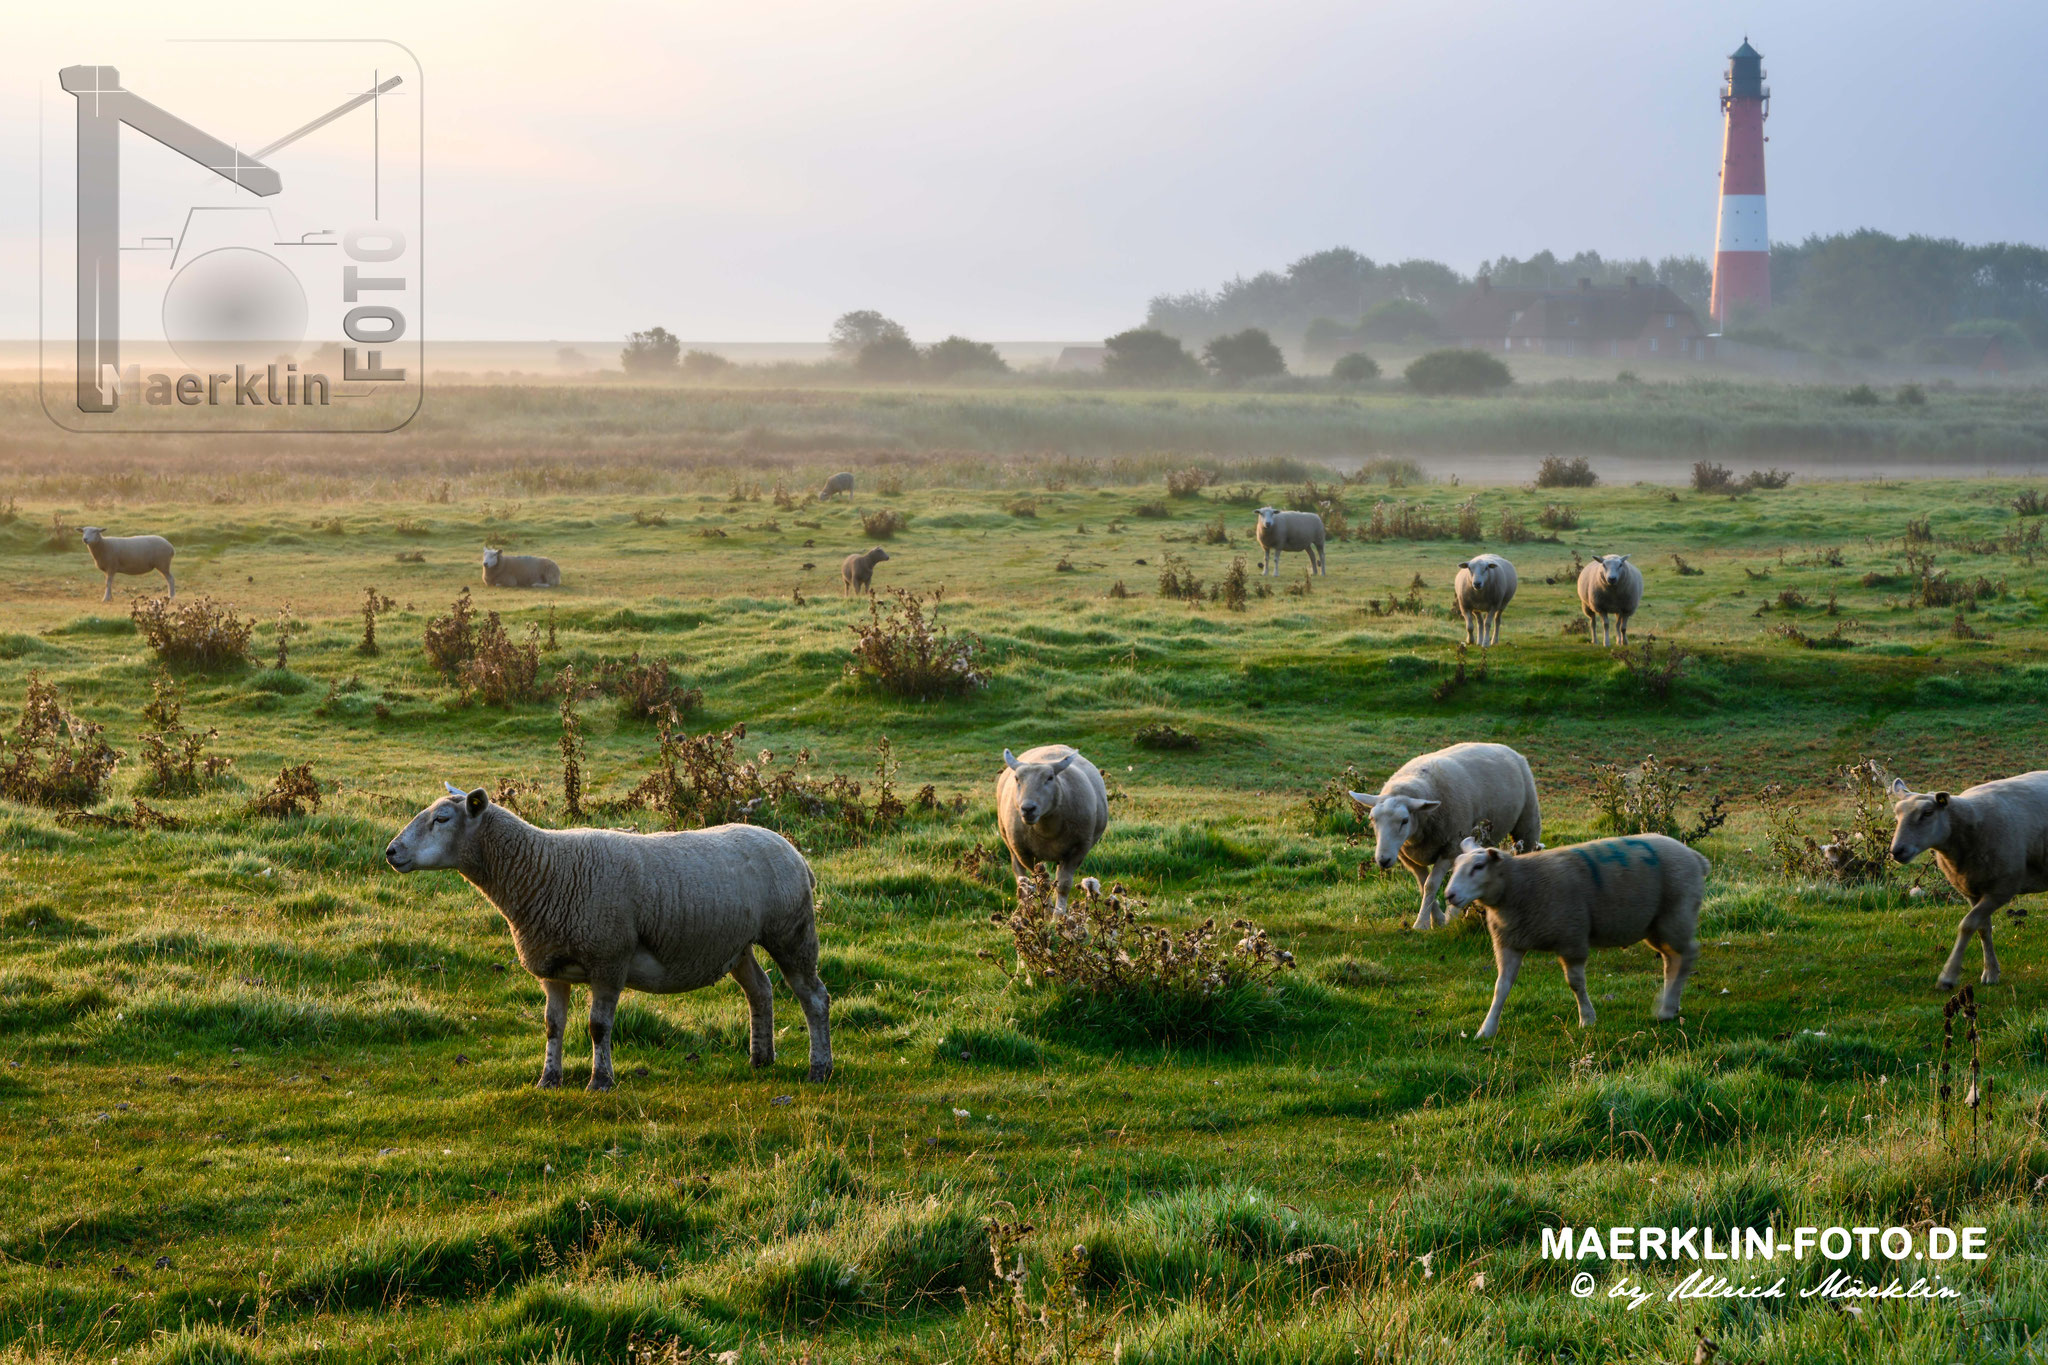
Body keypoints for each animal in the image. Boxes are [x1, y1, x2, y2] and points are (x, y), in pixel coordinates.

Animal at [384, 784, 830, 1089]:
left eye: (442, 819)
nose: (391, 852)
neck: (541, 870)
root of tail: (794, 851)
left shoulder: (609, 960)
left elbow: (598, 1026)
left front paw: (600, 1081)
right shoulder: (552, 969)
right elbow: (552, 1026)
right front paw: (548, 1080)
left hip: (791, 931)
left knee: (814, 998)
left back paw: (819, 1067)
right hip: (738, 945)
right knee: (760, 990)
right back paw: (761, 1059)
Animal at [997, 745, 1109, 916]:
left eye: (1050, 778)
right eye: (1017, 779)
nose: (1028, 808)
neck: (1047, 829)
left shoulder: (1078, 850)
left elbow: (1063, 885)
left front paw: (1058, 914)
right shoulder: (1025, 853)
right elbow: (1042, 884)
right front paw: (1047, 912)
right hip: (1010, 842)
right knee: (1020, 876)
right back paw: (1024, 906)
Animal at [1348, 741, 1541, 930]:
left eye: (1404, 820)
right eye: (1372, 819)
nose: (1383, 860)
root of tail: (1502, 746)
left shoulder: (1451, 848)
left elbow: (1431, 885)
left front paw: (1422, 924)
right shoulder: (1408, 858)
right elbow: (1423, 885)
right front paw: (1437, 920)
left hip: (1528, 823)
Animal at [1444, 833, 1707, 1039]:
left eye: (1478, 867)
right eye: (1456, 866)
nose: (1449, 895)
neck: (1518, 885)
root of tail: (1696, 857)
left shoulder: (1572, 937)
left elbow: (1576, 984)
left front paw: (1587, 1019)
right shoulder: (1508, 943)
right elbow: (1501, 987)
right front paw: (1486, 1030)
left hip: (1676, 914)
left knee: (1688, 955)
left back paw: (1666, 1010)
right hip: (1658, 925)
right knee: (1672, 960)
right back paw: (1671, 1005)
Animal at [1889, 772, 2048, 989]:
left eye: (1927, 813)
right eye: (1897, 816)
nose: (1896, 851)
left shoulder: (2001, 889)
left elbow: (1967, 925)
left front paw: (1948, 976)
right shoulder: (1971, 890)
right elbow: (1982, 929)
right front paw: (1991, 972)